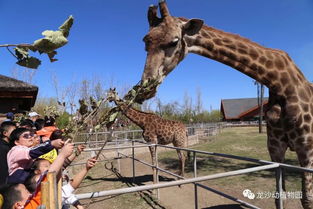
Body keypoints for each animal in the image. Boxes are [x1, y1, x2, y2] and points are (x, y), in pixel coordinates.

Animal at [140, 0, 312, 208]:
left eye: (174, 42)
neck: (278, 84)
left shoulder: (307, 149)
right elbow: (281, 196)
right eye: (145, 41)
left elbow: (307, 199)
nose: (146, 88)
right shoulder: (275, 149)